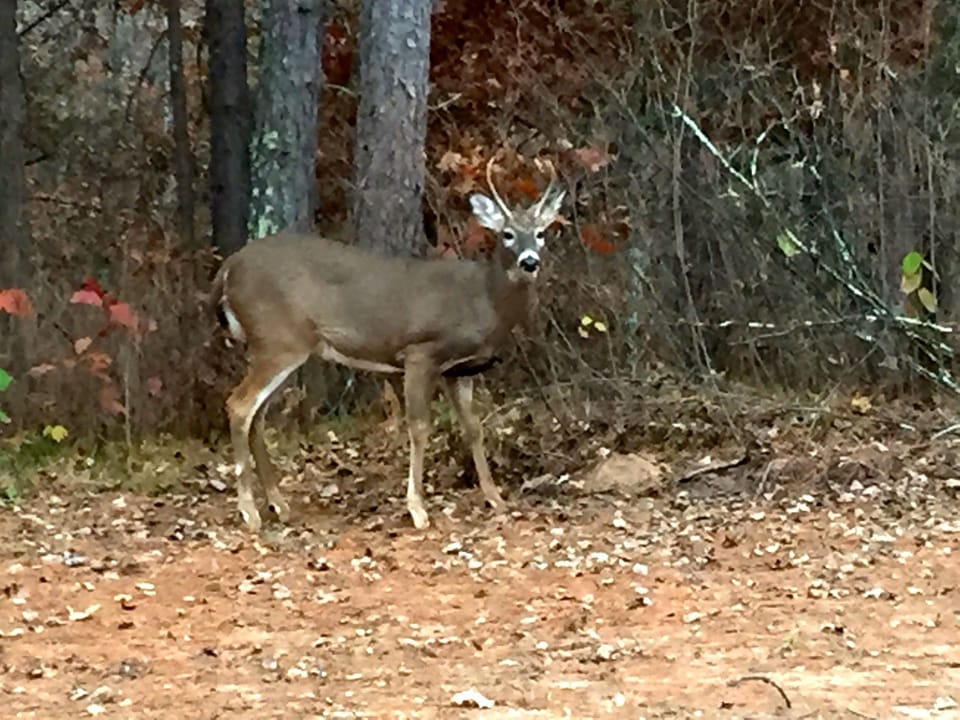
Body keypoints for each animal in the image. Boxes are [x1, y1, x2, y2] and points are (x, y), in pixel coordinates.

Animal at [211, 158, 566, 533]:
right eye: (507, 234)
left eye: (540, 233)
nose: (530, 261)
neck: (485, 298)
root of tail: (228, 268)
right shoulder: (419, 352)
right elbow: (420, 427)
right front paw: (418, 509)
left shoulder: (459, 370)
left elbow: (474, 428)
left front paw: (495, 498)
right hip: (279, 340)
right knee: (239, 405)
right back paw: (250, 512)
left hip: (275, 347)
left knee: (257, 416)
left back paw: (279, 505)